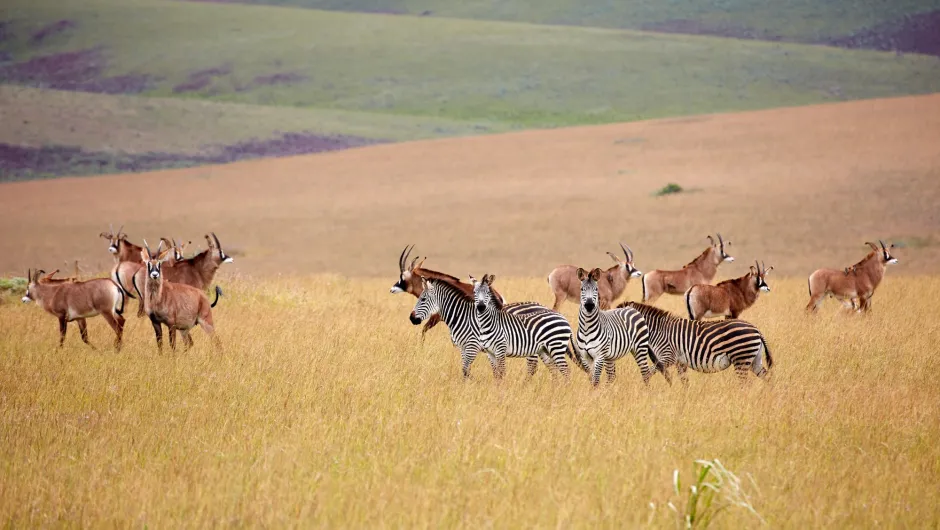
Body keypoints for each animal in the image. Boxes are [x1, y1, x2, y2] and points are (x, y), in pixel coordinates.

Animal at [412, 274, 552, 378]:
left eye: (423, 299)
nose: (411, 318)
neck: (462, 316)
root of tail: (543, 307)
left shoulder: (472, 346)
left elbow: (465, 370)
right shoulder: (463, 348)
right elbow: (466, 370)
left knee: (532, 368)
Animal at [616, 300, 772, 382]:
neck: (658, 330)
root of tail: (756, 330)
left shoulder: (668, 357)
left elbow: (649, 372)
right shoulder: (680, 361)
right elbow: (684, 381)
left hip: (741, 359)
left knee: (745, 384)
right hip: (753, 360)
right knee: (766, 378)